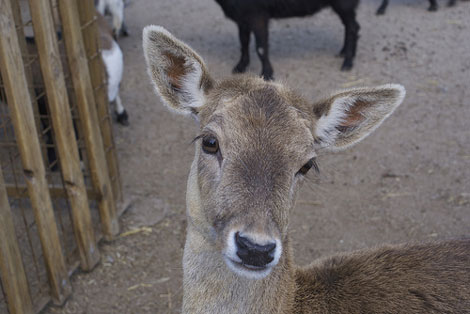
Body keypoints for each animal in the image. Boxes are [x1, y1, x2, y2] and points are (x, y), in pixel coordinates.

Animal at [212, 0, 360, 79]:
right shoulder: (242, 17)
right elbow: (243, 43)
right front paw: (240, 66)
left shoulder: (258, 16)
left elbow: (261, 48)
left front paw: (266, 74)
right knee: (350, 26)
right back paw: (343, 53)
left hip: (344, 4)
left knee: (353, 27)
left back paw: (347, 62)